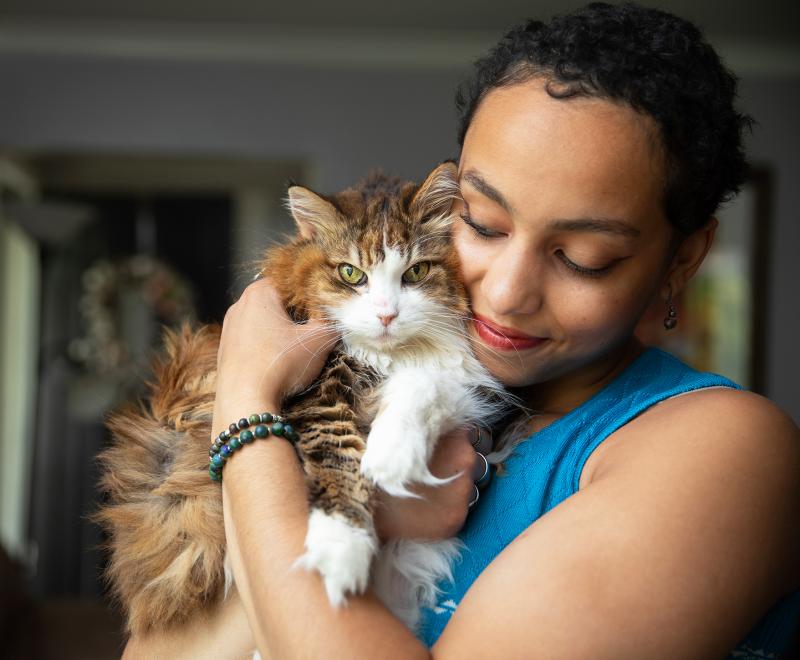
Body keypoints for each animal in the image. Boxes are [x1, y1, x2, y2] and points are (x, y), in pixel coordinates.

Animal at [94, 161, 506, 640]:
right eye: (351, 274)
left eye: (417, 273)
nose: (386, 315)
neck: (385, 359)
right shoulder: (317, 394)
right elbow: (338, 460)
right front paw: (342, 549)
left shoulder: (457, 377)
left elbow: (421, 388)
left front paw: (392, 457)